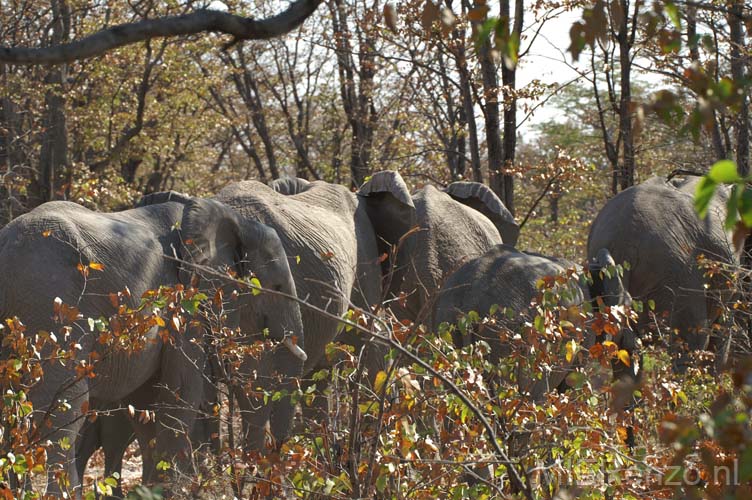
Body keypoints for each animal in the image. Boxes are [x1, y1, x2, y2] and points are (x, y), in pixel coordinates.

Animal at [0, 197, 306, 494]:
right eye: (277, 287)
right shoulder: (184, 303)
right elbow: (180, 390)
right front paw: (173, 490)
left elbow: (146, 399)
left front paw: (153, 489)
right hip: (52, 302)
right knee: (64, 408)